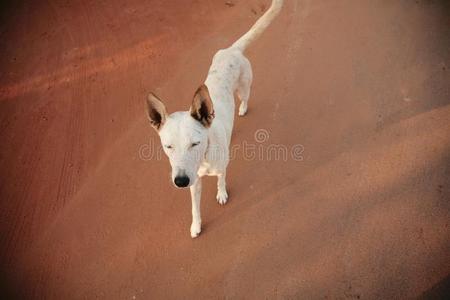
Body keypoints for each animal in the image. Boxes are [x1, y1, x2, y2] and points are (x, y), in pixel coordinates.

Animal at [146, 0, 284, 239]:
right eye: (168, 146)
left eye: (195, 143)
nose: (180, 181)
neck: (204, 157)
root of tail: (232, 50)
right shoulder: (195, 182)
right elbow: (195, 207)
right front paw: (196, 225)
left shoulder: (221, 169)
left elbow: (221, 180)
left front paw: (221, 194)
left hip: (243, 87)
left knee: (245, 98)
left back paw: (243, 109)